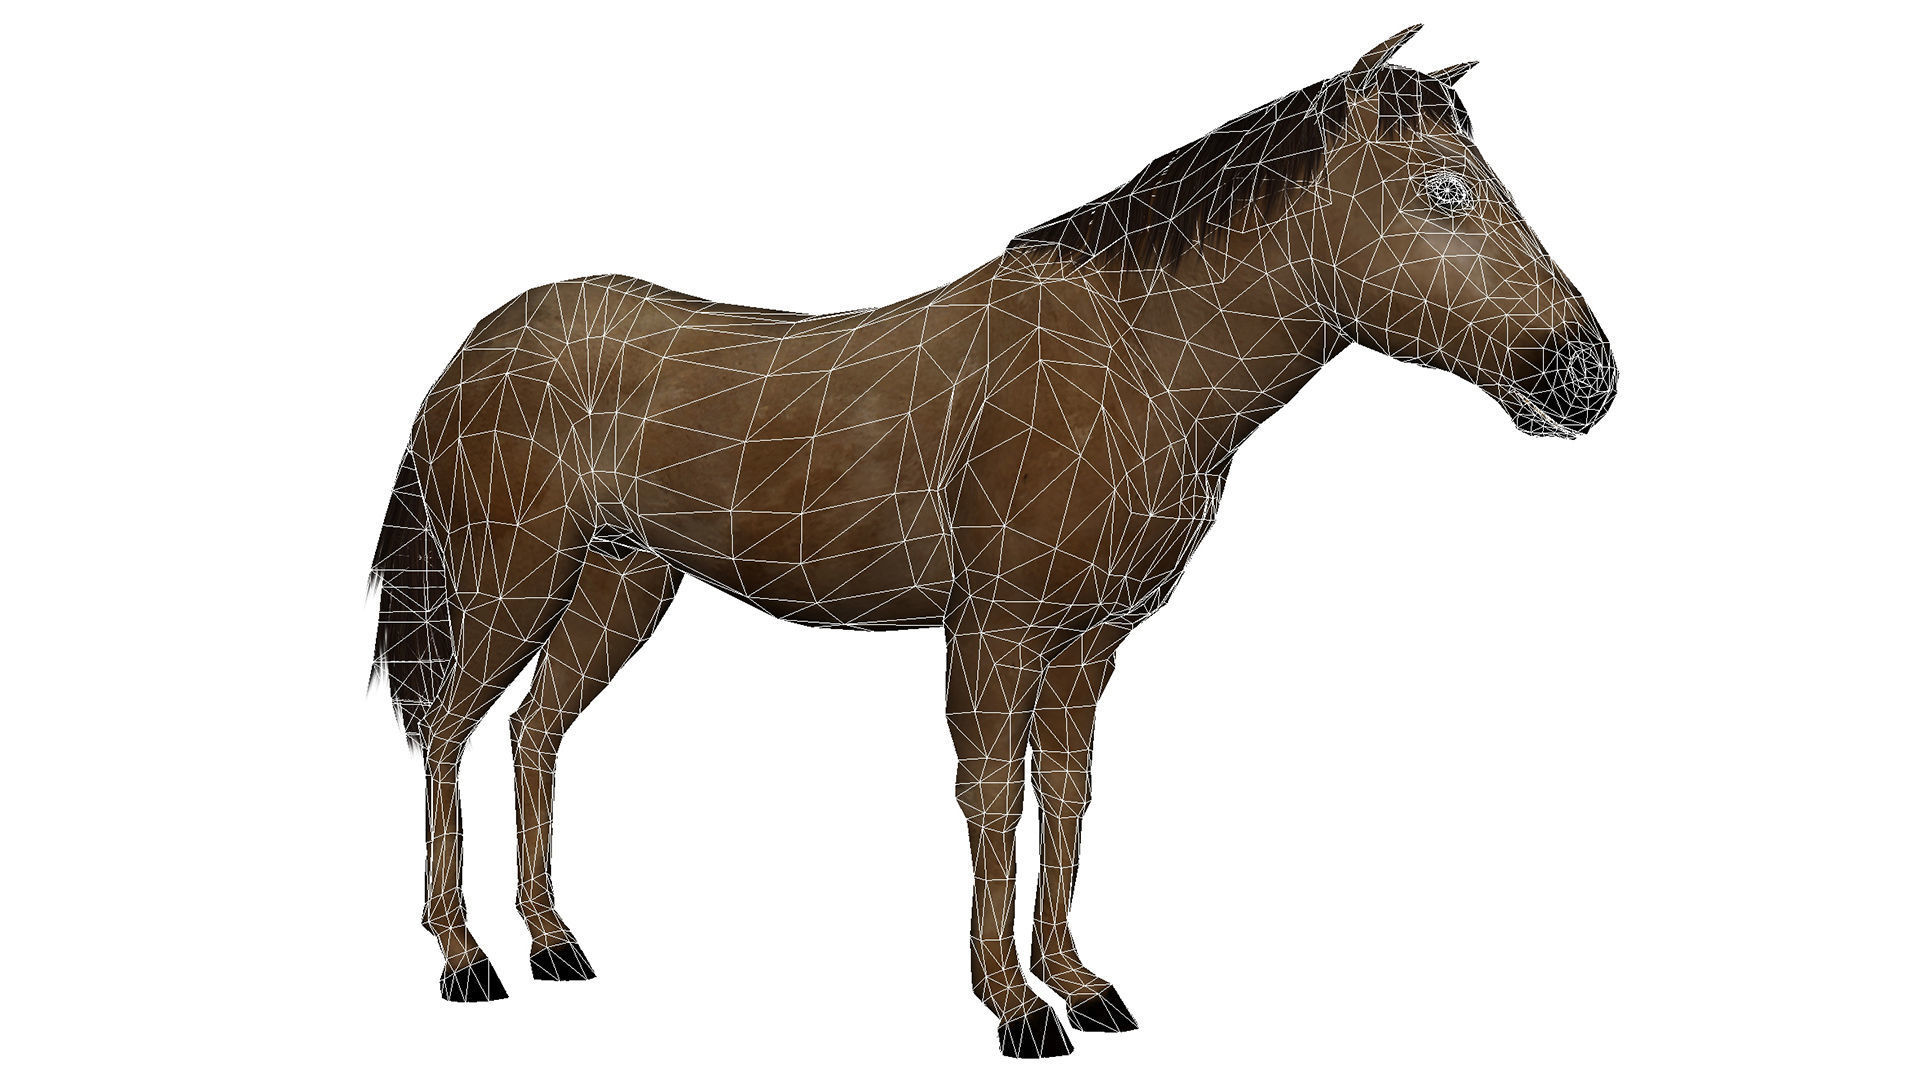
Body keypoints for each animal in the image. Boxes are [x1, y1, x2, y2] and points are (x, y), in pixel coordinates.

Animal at [369, 25, 1616, 1058]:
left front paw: (1081, 984)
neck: (1136, 362)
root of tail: (477, 349)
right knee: (447, 734)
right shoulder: (997, 627)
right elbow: (992, 803)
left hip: (620, 585)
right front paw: (1015, 1008)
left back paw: (552, 941)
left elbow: (1068, 794)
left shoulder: (1086, 642)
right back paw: (466, 959)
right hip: (514, 577)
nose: (1586, 378)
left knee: (533, 732)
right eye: (1444, 191)